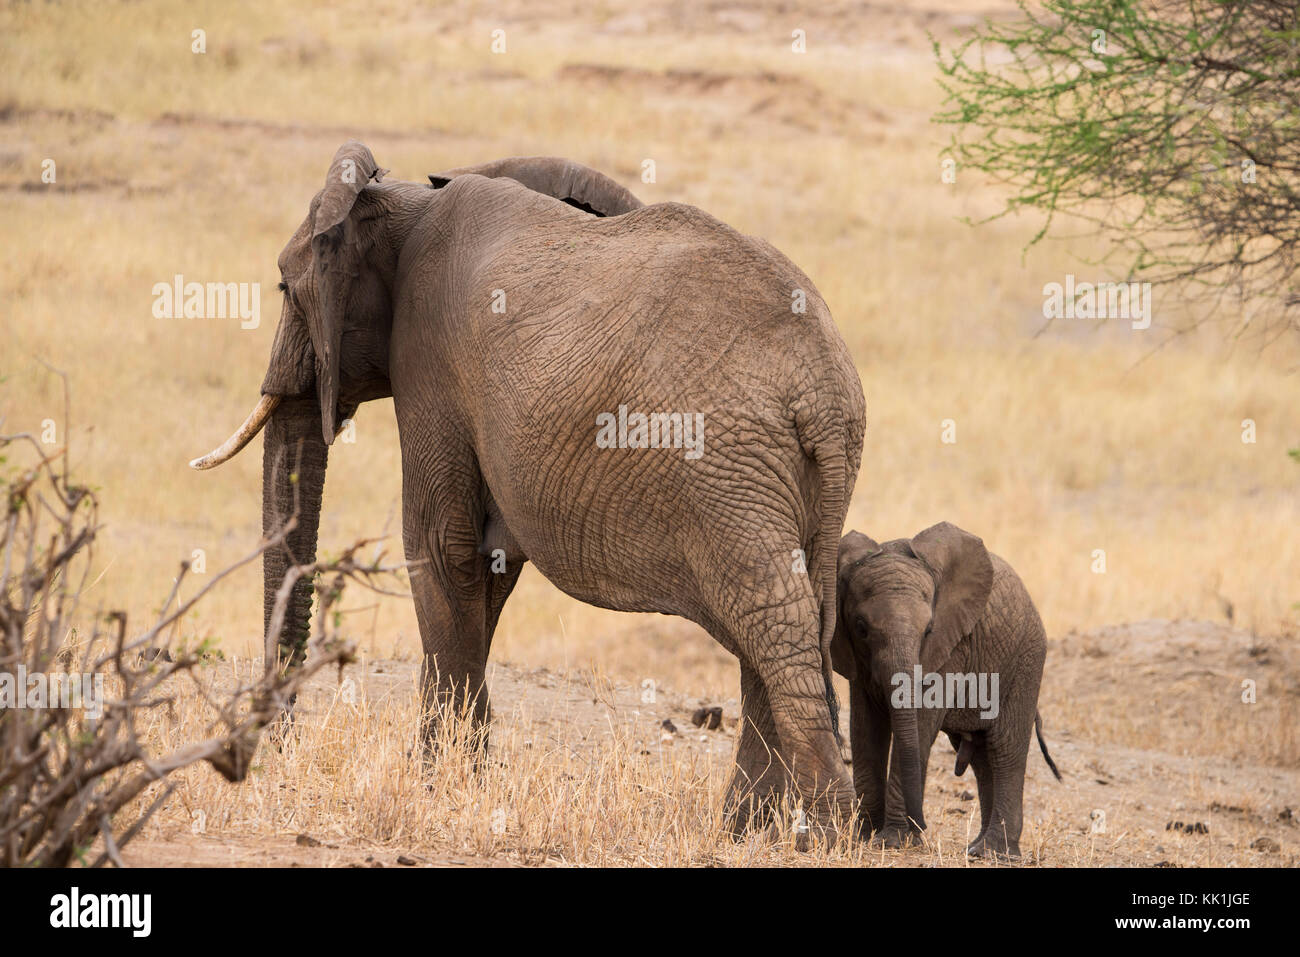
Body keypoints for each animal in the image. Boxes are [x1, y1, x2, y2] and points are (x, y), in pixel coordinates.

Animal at [189, 141, 863, 837]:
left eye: (282, 287)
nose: (277, 748)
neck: (404, 201)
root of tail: (825, 391)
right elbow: (487, 567)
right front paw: (464, 778)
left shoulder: (429, 362)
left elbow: (441, 546)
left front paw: (440, 787)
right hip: (786, 483)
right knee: (785, 618)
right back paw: (746, 828)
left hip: (727, 471)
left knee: (771, 616)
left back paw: (824, 830)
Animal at [826, 522, 1060, 858]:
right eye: (861, 628)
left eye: (928, 630)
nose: (923, 825)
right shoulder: (857, 660)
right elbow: (866, 729)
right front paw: (864, 836)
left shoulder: (951, 647)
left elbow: (920, 723)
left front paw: (893, 841)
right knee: (983, 758)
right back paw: (977, 849)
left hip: (1026, 660)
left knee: (1005, 749)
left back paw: (995, 852)